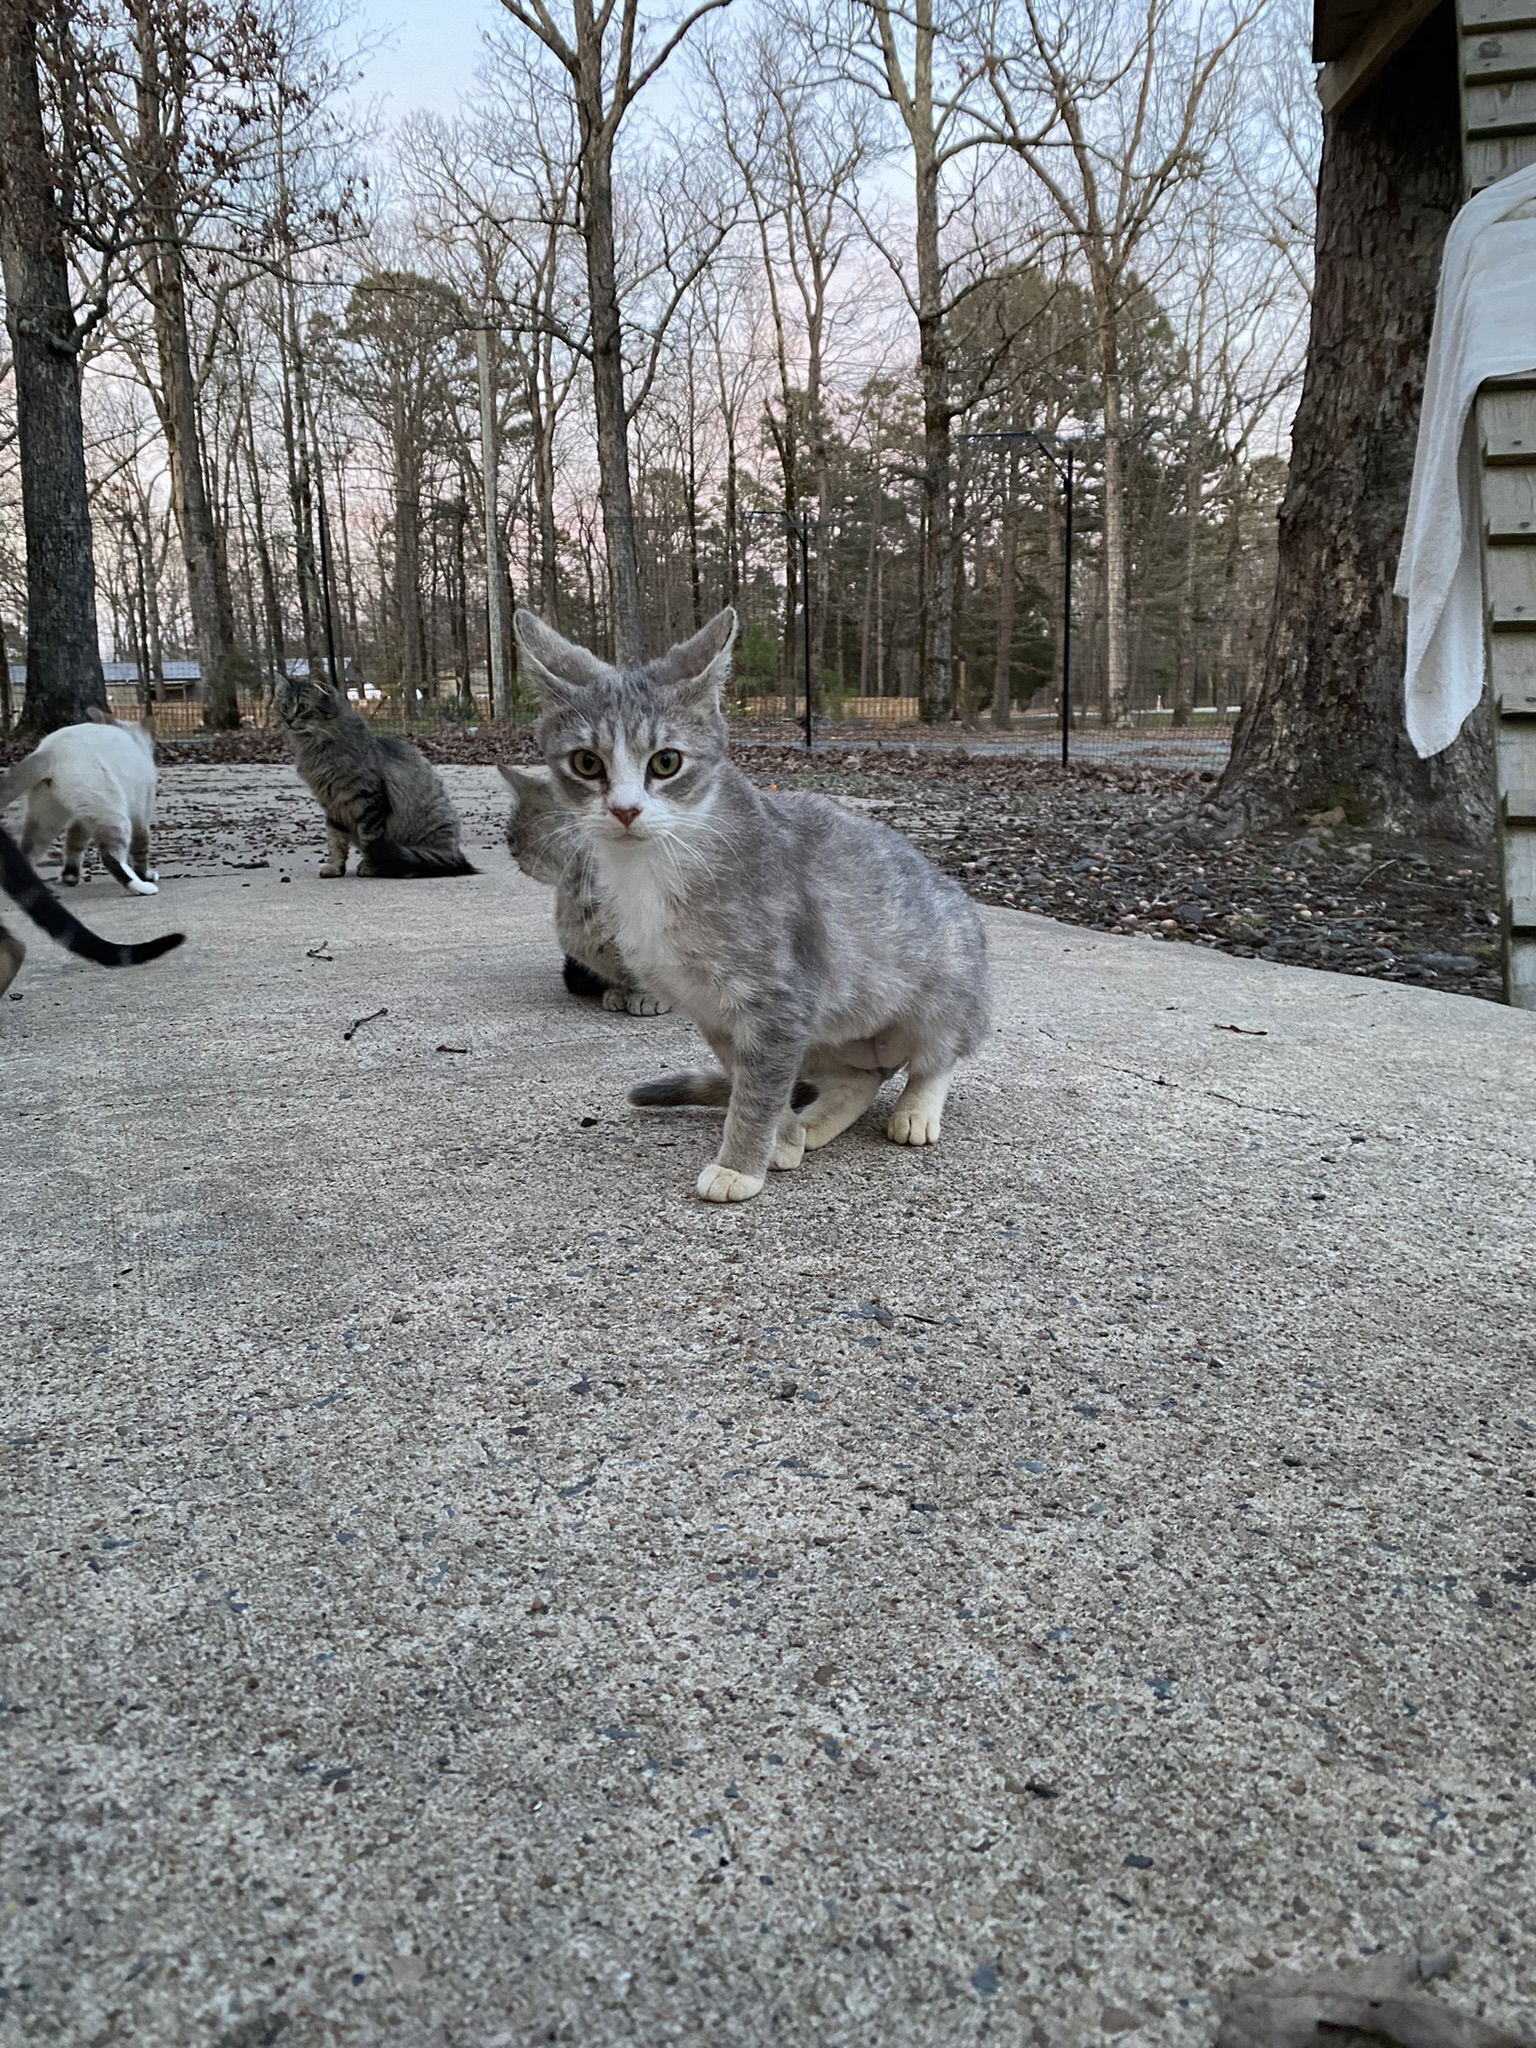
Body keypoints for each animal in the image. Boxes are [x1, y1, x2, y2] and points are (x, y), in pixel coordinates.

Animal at [276, 679, 479, 880]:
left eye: (303, 707)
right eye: (284, 707)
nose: (288, 720)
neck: (317, 749)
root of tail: (454, 854)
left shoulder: (369, 801)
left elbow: (369, 840)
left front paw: (370, 867)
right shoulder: (332, 806)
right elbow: (336, 843)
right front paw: (334, 868)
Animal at [518, 602, 991, 1196]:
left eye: (666, 762)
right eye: (586, 763)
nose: (625, 810)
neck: (655, 869)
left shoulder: (780, 995)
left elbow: (760, 1085)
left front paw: (740, 1163)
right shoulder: (714, 1010)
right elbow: (751, 1076)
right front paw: (782, 1138)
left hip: (946, 975)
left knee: (937, 1052)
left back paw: (917, 1108)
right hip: (835, 1032)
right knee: (857, 1078)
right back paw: (817, 1120)